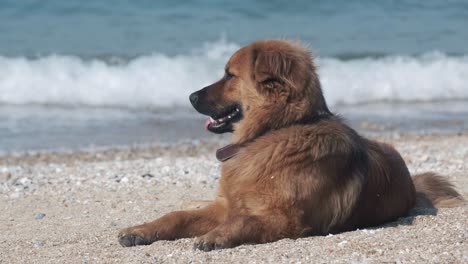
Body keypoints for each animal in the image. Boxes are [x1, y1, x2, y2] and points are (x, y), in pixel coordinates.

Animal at [118, 38, 464, 250]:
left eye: (230, 75)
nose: (189, 96)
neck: (275, 131)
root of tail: (412, 183)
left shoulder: (287, 220)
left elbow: (246, 220)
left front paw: (217, 234)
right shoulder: (227, 204)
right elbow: (177, 215)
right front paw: (141, 230)